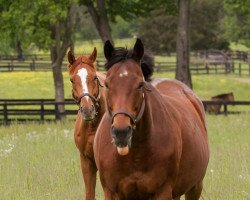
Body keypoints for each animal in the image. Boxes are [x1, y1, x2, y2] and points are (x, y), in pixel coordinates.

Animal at [94, 39, 209, 200]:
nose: (121, 132)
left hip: (195, 187)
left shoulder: (163, 191)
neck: (136, 154)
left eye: (140, 84)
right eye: (107, 84)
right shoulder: (112, 193)